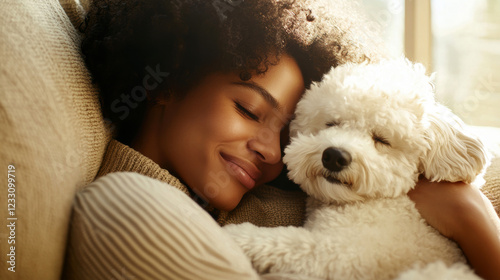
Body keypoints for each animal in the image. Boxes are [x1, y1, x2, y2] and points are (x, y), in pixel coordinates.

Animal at [225, 58, 490, 278]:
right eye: (332, 123)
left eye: (382, 140)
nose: (334, 156)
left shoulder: (339, 252)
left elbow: (285, 243)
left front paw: (236, 235)